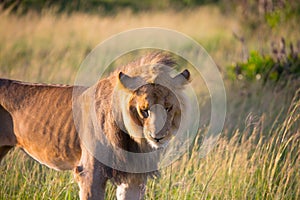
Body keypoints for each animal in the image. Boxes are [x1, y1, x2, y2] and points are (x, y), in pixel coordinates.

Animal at [0, 52, 191, 199]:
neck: (135, 139)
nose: (157, 137)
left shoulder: (134, 178)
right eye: (144, 110)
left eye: (168, 107)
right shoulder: (90, 174)